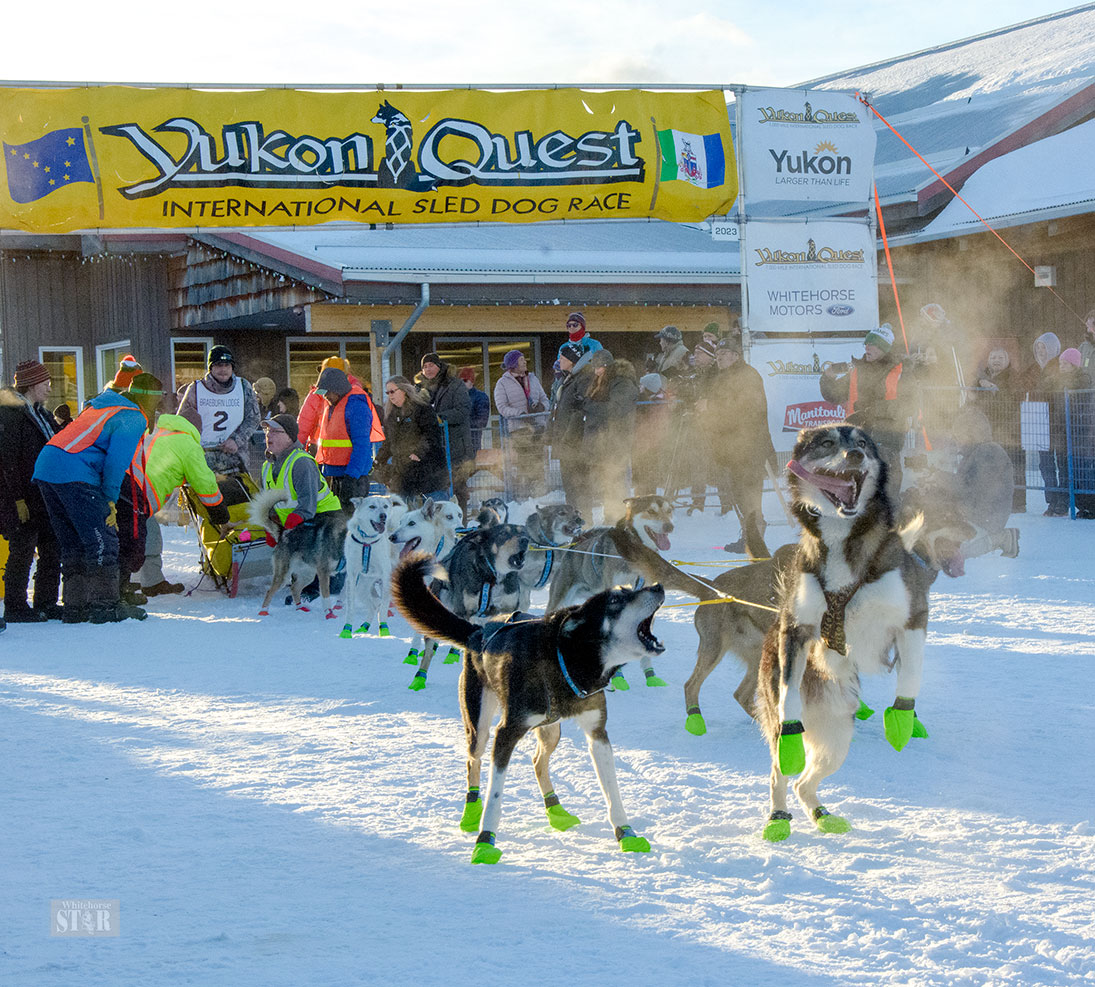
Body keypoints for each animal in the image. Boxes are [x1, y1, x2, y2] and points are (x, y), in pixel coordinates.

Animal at [250, 486, 348, 617]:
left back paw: (300, 607)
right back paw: (263, 611)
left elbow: (344, 592)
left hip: (307, 575)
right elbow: (326, 596)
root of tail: (283, 533)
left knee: (294, 588)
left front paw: (339, 605)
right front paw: (329, 614)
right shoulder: (324, 573)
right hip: (283, 575)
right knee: (270, 591)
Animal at [341, 492, 398, 639]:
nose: (383, 515)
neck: (367, 541)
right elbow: (350, 608)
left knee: (379, 605)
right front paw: (346, 630)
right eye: (372, 506)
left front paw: (384, 630)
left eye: (385, 506)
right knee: (373, 605)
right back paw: (363, 627)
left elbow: (383, 608)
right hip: (361, 588)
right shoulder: (352, 576)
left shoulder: (385, 575)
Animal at [394, 549, 665, 867]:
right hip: (479, 725)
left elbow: (612, 790)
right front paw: (485, 841)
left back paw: (556, 811)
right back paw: (471, 814)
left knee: (538, 761)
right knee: (473, 761)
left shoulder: (598, 733)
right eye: (614, 601)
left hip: (551, 732)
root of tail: (477, 631)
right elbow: (495, 796)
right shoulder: (506, 733)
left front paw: (626, 833)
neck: (568, 658)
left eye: (629, 590)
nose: (658, 586)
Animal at [757, 422, 928, 841]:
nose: (856, 456)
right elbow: (789, 692)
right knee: (782, 773)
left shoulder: (912, 617)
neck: (841, 538)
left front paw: (903, 719)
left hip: (837, 738)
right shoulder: (796, 629)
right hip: (791, 720)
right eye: (826, 443)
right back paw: (778, 819)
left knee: (804, 783)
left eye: (863, 443)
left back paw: (823, 815)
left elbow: (912, 673)